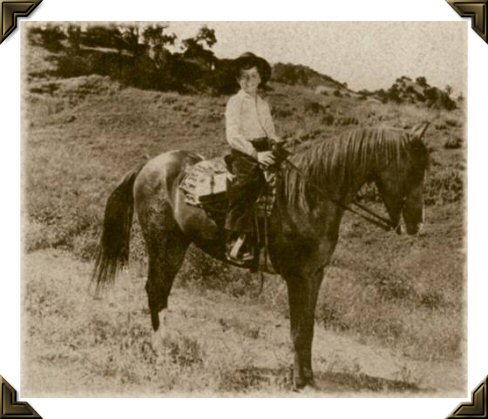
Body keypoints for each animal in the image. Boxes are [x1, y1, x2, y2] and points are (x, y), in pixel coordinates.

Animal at [93, 124, 428, 390]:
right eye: (414, 170)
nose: (416, 224)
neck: (307, 198)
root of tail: (149, 165)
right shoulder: (297, 276)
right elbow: (297, 329)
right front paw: (298, 381)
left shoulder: (315, 275)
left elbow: (308, 327)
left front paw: (309, 378)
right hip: (165, 243)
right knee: (156, 291)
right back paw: (162, 352)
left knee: (159, 293)